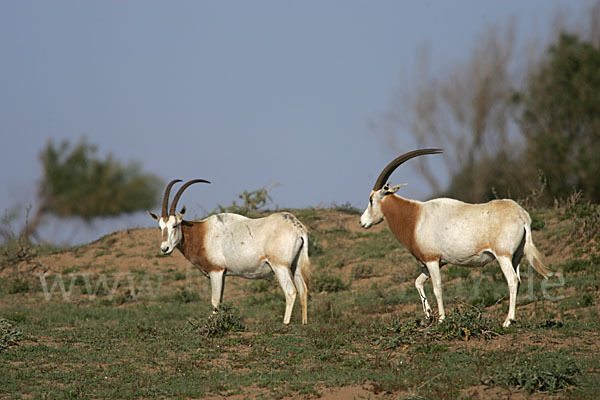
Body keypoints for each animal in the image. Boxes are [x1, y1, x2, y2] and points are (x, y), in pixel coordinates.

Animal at [148, 180, 312, 324]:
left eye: (175, 225)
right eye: (160, 226)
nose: (164, 248)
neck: (202, 233)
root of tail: (297, 227)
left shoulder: (216, 271)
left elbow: (215, 301)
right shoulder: (223, 273)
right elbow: (220, 300)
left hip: (280, 267)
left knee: (290, 292)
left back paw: (285, 323)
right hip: (295, 266)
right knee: (303, 290)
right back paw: (304, 323)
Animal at [360, 148, 552, 326]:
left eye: (371, 200)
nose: (362, 222)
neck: (415, 217)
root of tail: (521, 214)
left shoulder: (432, 260)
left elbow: (437, 288)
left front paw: (441, 320)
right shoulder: (437, 261)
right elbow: (417, 282)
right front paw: (428, 315)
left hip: (503, 256)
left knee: (512, 280)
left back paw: (508, 321)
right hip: (517, 257)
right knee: (518, 280)